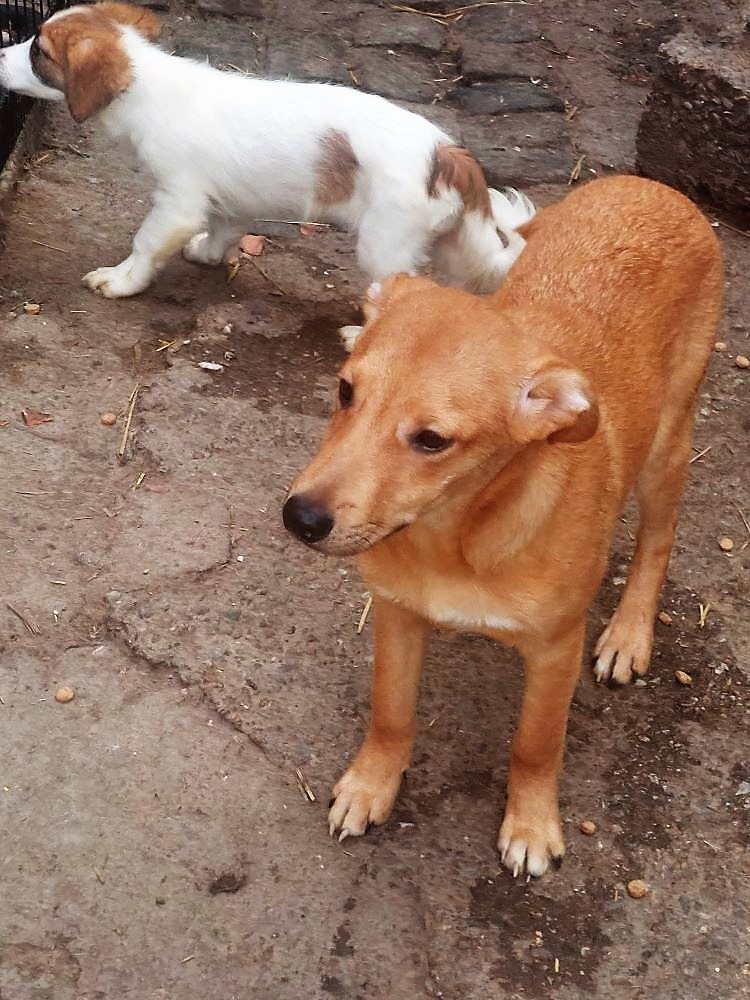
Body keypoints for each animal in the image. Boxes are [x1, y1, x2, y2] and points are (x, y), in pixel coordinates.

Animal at [0, 4, 536, 300]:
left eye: (38, 51)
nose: (0, 52)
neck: (148, 86)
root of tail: (448, 153)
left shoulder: (176, 202)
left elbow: (146, 242)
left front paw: (122, 280)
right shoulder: (231, 198)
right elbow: (224, 228)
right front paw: (208, 254)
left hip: (385, 243)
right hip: (452, 242)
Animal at [282, 178, 724, 876]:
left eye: (432, 440)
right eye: (345, 391)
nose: (300, 518)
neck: (455, 537)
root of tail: (648, 185)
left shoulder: (555, 649)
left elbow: (536, 745)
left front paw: (533, 825)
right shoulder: (397, 614)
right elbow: (391, 713)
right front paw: (371, 785)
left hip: (667, 446)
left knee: (658, 540)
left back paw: (629, 635)